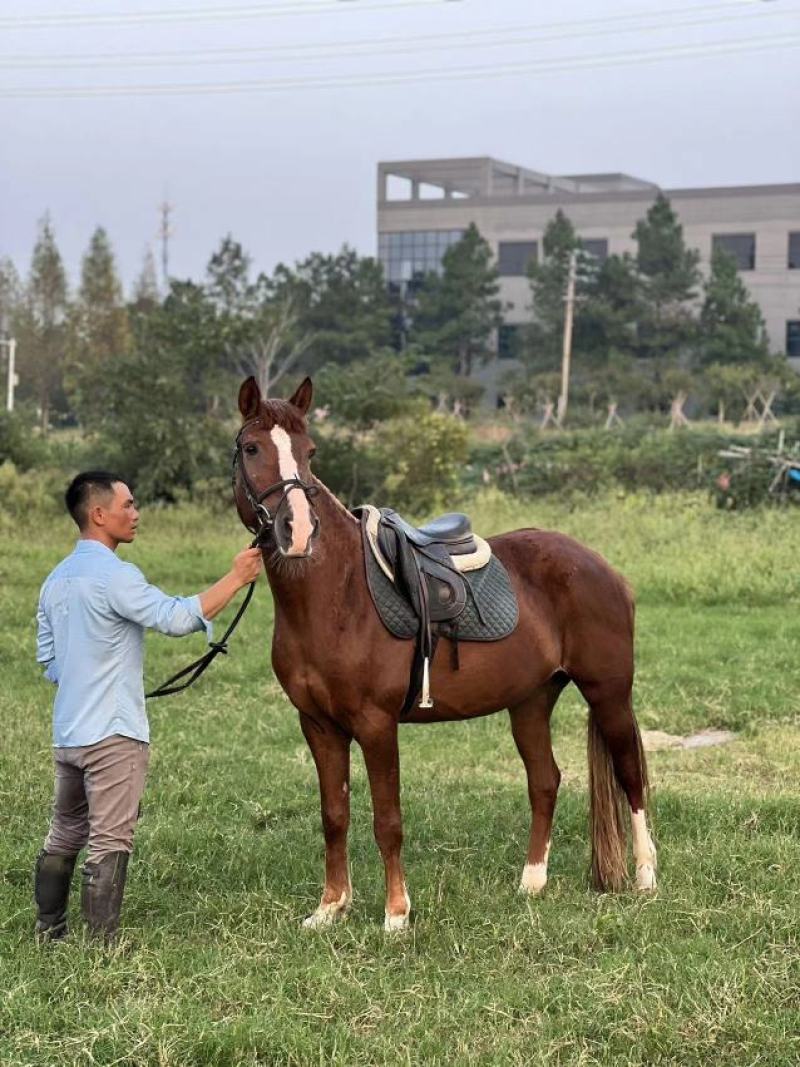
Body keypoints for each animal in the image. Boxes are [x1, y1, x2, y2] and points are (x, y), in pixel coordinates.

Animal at [232, 375, 656, 931]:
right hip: (531, 702)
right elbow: (334, 815)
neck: (336, 596)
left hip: (608, 693)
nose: (298, 531)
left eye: (309, 452)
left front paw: (395, 915)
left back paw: (646, 877)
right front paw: (330, 907)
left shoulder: (376, 724)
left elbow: (387, 819)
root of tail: (604, 569)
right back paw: (532, 883)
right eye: (251, 447)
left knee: (631, 776)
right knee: (545, 780)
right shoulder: (318, 725)